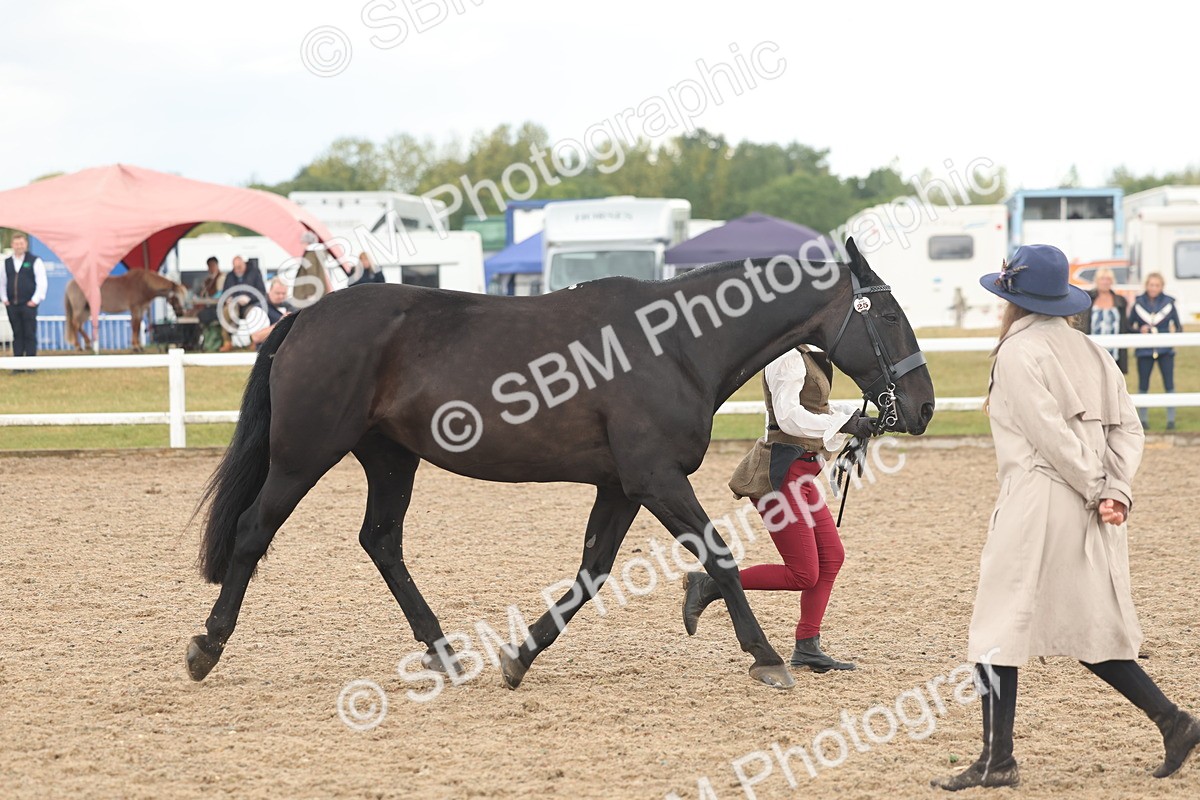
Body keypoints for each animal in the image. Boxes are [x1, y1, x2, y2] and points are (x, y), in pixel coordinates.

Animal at [185, 238, 936, 691]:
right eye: (889, 316)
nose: (923, 405)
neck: (676, 344)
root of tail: (305, 318)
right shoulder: (656, 478)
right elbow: (718, 557)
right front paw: (769, 658)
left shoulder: (622, 484)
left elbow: (592, 572)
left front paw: (520, 657)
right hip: (304, 455)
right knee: (254, 533)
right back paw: (207, 647)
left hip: (392, 459)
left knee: (382, 541)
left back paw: (443, 651)